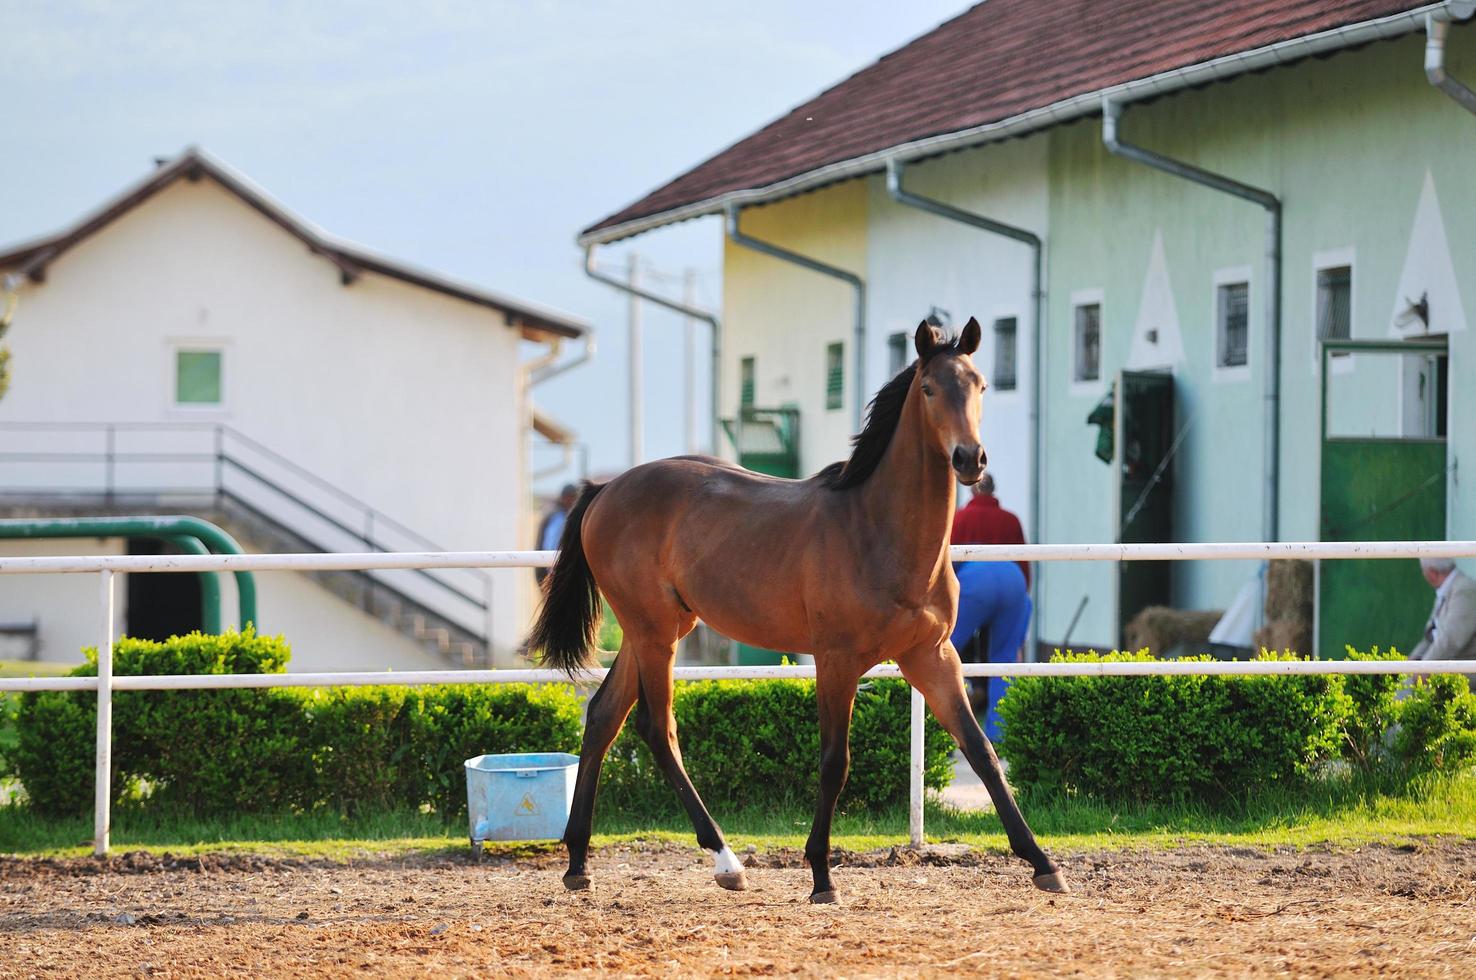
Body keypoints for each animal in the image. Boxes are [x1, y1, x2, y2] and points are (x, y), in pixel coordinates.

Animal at [525, 317, 1068, 897]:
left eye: (981, 385)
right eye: (928, 388)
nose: (970, 460)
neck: (879, 531)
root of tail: (605, 489)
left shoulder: (932, 656)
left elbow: (982, 752)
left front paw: (1043, 863)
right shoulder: (836, 660)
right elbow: (835, 762)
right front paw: (822, 875)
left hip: (654, 629)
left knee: (605, 715)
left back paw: (578, 862)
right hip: (654, 634)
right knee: (657, 729)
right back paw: (725, 860)